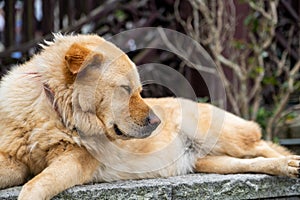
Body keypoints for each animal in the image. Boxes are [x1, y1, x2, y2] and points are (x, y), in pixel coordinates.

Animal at [0, 33, 298, 199]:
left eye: (140, 90)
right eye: (125, 89)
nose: (157, 122)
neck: (52, 113)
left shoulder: (76, 161)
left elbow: (35, 187)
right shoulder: (13, 159)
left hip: (221, 136)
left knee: (262, 145)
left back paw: (291, 162)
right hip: (211, 162)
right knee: (253, 161)